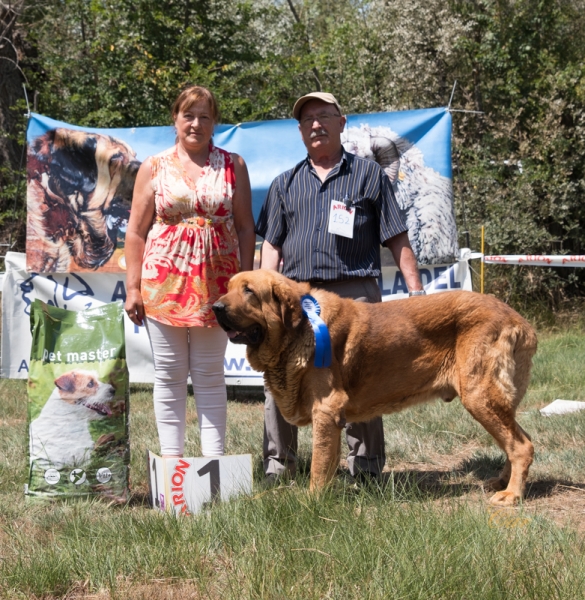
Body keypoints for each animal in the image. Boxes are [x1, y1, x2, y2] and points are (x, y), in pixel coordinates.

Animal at [212, 270, 536, 504]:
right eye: (228, 287)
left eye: (249, 291)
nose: (214, 307)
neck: (301, 328)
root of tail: (520, 321)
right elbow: (327, 463)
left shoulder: (326, 411)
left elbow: (318, 464)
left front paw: (311, 502)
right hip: (492, 401)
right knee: (518, 439)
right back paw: (501, 481)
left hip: (479, 396)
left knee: (521, 445)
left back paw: (511, 494)